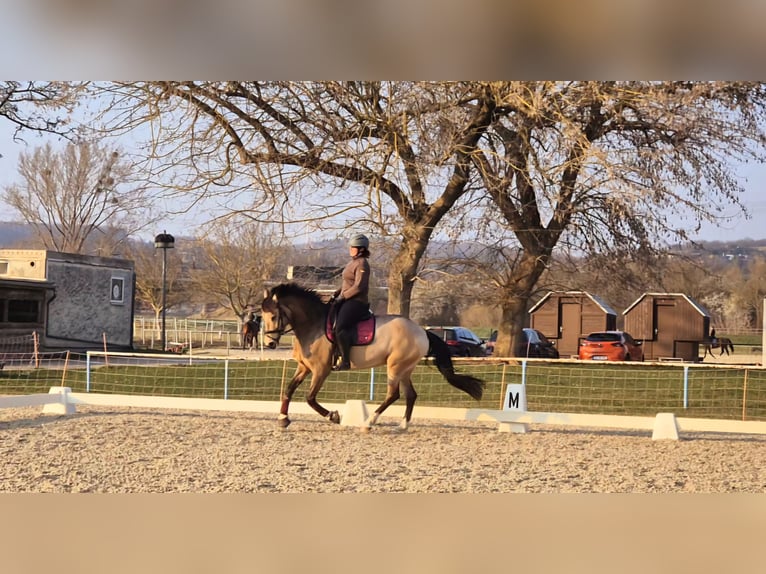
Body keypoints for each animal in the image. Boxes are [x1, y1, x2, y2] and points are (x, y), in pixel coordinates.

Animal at [260, 283, 485, 430]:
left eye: (273, 316)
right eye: (261, 317)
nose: (270, 344)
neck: (313, 325)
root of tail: (422, 331)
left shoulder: (321, 370)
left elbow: (309, 398)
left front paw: (333, 416)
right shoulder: (304, 367)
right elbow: (289, 390)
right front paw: (283, 418)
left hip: (394, 366)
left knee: (393, 395)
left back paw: (369, 422)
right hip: (405, 368)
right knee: (410, 395)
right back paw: (402, 426)